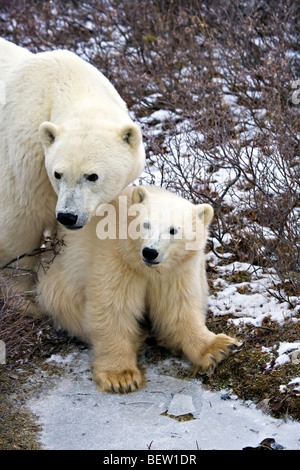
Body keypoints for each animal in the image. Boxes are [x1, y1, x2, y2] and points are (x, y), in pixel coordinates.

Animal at [0, 38, 145, 314]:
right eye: (58, 173)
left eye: (92, 176)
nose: (68, 216)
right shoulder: (25, 163)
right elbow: (18, 228)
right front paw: (23, 301)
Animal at [37, 185, 239, 392]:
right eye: (146, 224)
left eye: (173, 230)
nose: (150, 252)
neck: (146, 268)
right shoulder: (117, 258)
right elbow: (114, 308)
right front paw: (120, 376)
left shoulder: (176, 271)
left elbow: (178, 306)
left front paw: (218, 347)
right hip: (60, 283)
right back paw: (137, 339)